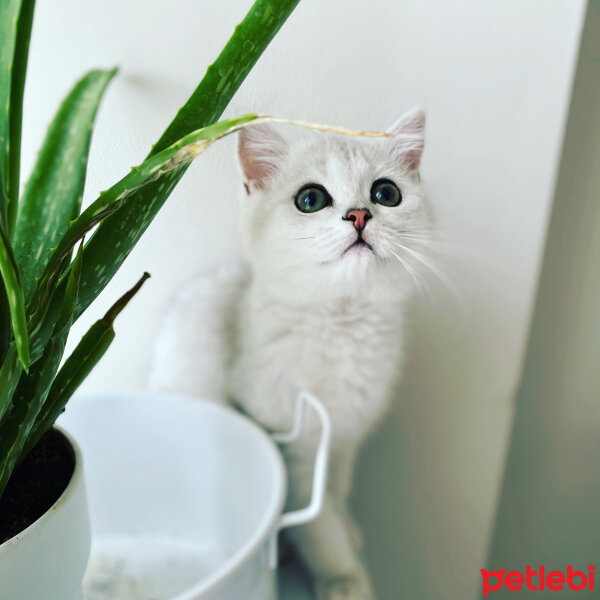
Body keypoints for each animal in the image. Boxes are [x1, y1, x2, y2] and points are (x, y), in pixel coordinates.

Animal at [150, 109, 432, 600]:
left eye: (386, 193)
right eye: (310, 199)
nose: (359, 214)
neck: (340, 325)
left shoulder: (345, 438)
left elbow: (335, 490)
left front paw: (349, 529)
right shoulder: (293, 448)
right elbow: (316, 523)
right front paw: (342, 574)